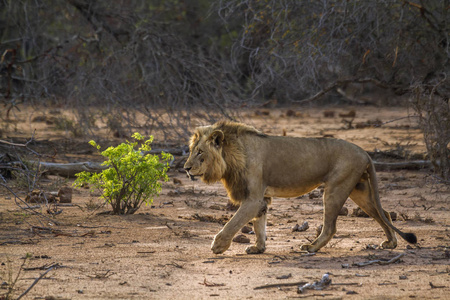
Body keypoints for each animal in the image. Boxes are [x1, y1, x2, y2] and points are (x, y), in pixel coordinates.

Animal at [185, 120, 416, 254]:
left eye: (200, 152)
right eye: (191, 150)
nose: (186, 168)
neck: (232, 155)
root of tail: (365, 151)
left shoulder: (252, 199)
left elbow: (233, 223)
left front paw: (218, 246)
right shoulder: (261, 199)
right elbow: (259, 225)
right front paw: (259, 248)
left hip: (336, 188)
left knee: (331, 227)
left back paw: (311, 247)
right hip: (359, 190)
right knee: (385, 213)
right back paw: (390, 243)